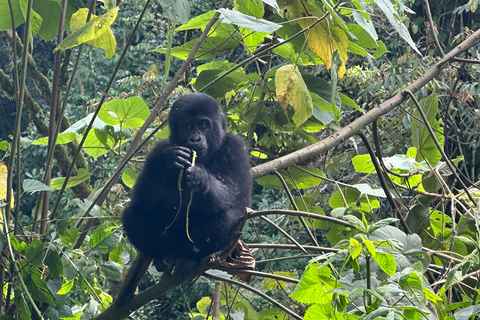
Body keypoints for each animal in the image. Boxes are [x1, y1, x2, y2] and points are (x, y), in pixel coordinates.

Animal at [122, 93, 253, 272]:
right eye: (187, 126)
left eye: (204, 124)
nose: (196, 138)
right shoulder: (157, 150)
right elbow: (142, 203)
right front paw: (167, 159)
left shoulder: (236, 148)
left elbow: (237, 198)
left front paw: (201, 178)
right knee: (131, 214)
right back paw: (161, 256)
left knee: (229, 215)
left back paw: (186, 257)